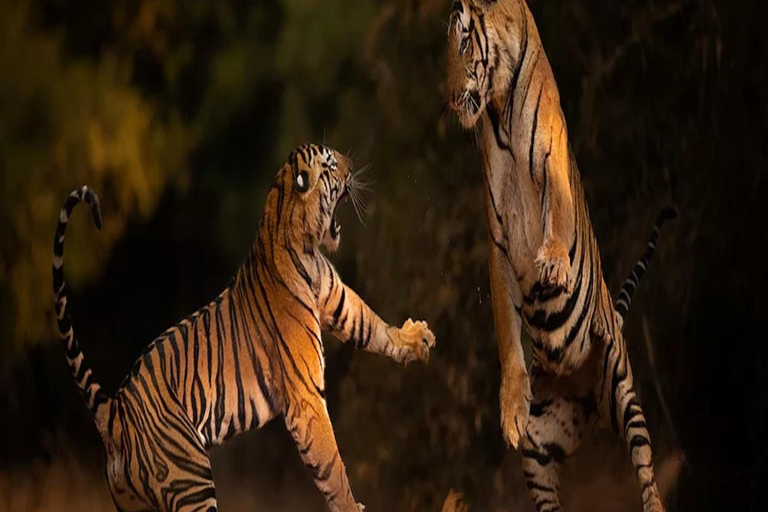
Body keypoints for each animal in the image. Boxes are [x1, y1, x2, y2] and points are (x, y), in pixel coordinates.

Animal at [52, 144, 436, 512]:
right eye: (330, 164)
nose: (352, 166)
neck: (305, 243)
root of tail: (114, 412)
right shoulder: (306, 396)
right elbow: (332, 467)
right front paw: (350, 506)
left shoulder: (339, 301)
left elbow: (371, 326)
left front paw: (416, 339)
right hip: (191, 481)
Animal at [445, 1, 674, 511]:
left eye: (465, 41)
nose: (448, 98)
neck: (498, 110)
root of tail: (585, 394)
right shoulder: (497, 237)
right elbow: (507, 334)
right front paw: (511, 407)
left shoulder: (553, 170)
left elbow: (557, 221)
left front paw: (551, 263)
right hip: (540, 452)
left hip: (622, 390)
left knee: (647, 473)